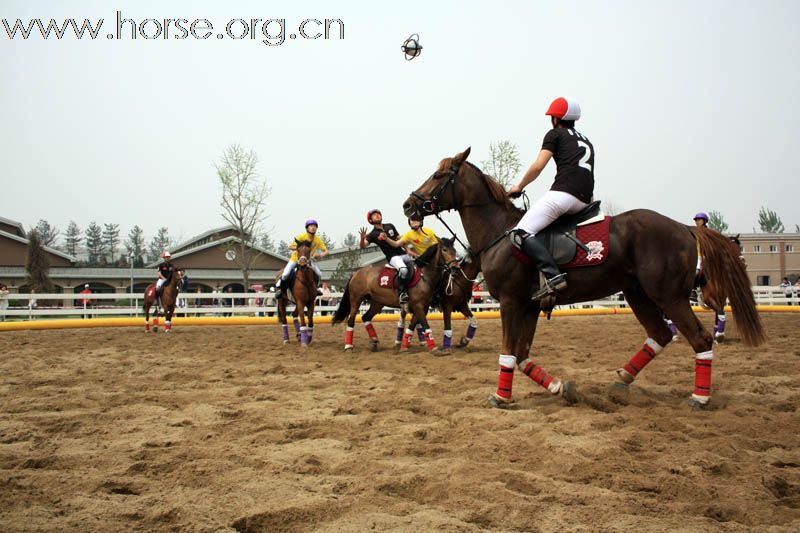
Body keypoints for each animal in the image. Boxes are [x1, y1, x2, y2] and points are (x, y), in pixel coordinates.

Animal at [404, 148, 764, 410]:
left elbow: (508, 353)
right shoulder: (529, 306)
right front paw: (559, 387)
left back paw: (699, 397)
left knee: (699, 339)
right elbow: (521, 356)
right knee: (660, 334)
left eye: (439, 175)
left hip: (668, 296)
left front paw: (500, 396)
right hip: (638, 294)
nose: (409, 204)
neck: (500, 231)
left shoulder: (509, 302)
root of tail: (685, 227)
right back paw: (621, 380)